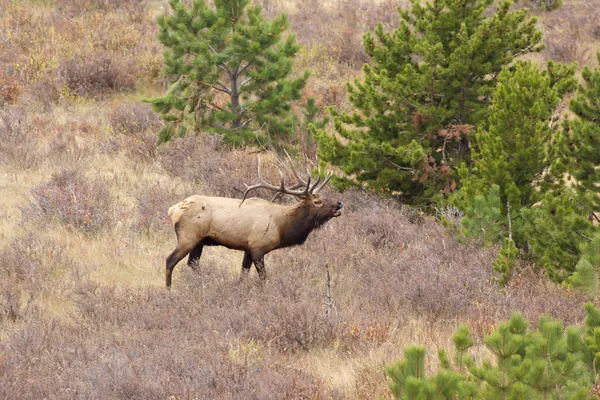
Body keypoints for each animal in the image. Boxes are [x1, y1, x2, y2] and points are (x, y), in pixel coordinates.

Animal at [164, 156, 342, 288]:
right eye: (317, 202)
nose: (339, 203)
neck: (282, 227)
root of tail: (172, 210)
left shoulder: (248, 248)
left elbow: (243, 274)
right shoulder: (258, 247)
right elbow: (263, 277)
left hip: (199, 241)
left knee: (193, 263)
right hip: (188, 237)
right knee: (170, 260)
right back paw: (169, 289)